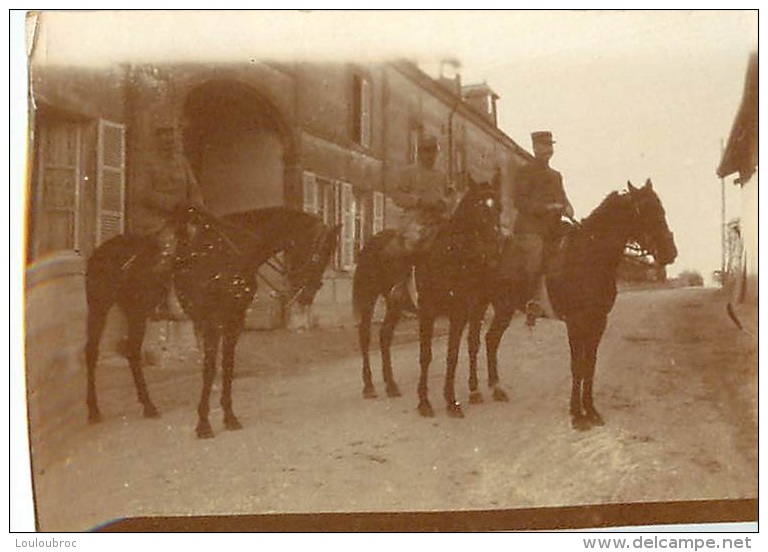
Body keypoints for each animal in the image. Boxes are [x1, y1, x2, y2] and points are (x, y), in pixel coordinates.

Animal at [84, 205, 340, 438]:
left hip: (136, 312)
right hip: (99, 308)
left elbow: (227, 366)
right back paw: (94, 411)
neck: (230, 256)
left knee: (133, 352)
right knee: (92, 352)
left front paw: (230, 418)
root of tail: (99, 251)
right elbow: (209, 369)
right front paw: (203, 424)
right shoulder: (209, 322)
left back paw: (149, 406)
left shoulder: (234, 322)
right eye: (320, 252)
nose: (307, 295)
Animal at [354, 179, 504, 416]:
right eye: (478, 207)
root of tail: (372, 241)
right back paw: (369, 386)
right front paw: (424, 402)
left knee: (385, 336)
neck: (451, 256)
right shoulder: (428, 312)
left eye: (499, 207)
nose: (495, 248)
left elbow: (453, 355)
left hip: (395, 305)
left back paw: (391, 385)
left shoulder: (460, 314)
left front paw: (452, 402)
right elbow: (426, 355)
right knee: (365, 336)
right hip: (369, 299)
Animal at [480, 179, 680, 430]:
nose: (671, 253)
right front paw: (577, 413)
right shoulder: (575, 322)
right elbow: (577, 366)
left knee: (491, 340)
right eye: (648, 211)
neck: (590, 257)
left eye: (661, 210)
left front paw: (591, 410)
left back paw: (496, 389)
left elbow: (590, 365)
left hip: (503, 309)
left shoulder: (598, 321)